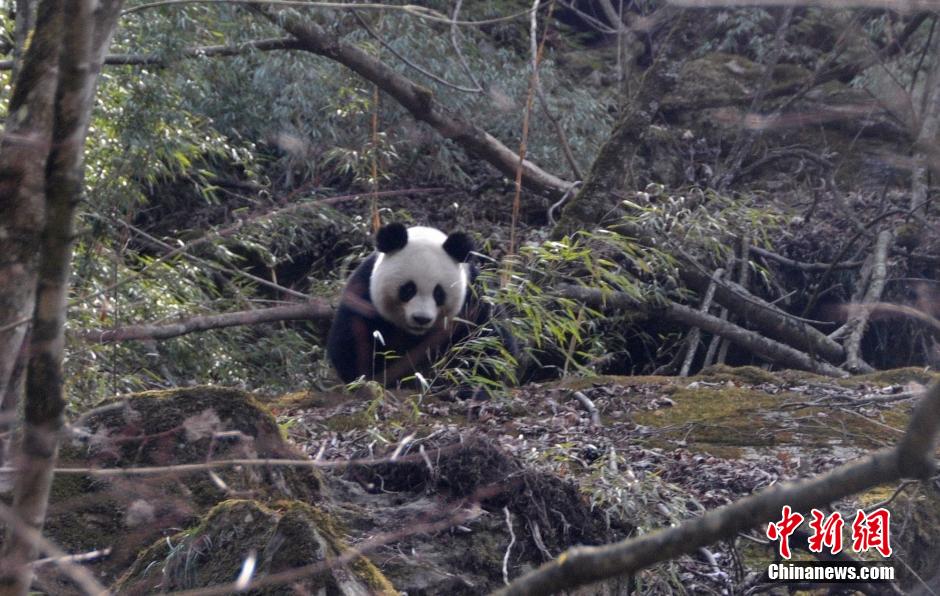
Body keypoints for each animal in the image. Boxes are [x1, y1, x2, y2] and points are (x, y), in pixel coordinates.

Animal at [324, 224, 500, 386]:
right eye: (408, 289)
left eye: (438, 293)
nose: (421, 319)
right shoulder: (362, 295)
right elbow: (352, 343)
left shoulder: (473, 303)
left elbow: (483, 345)